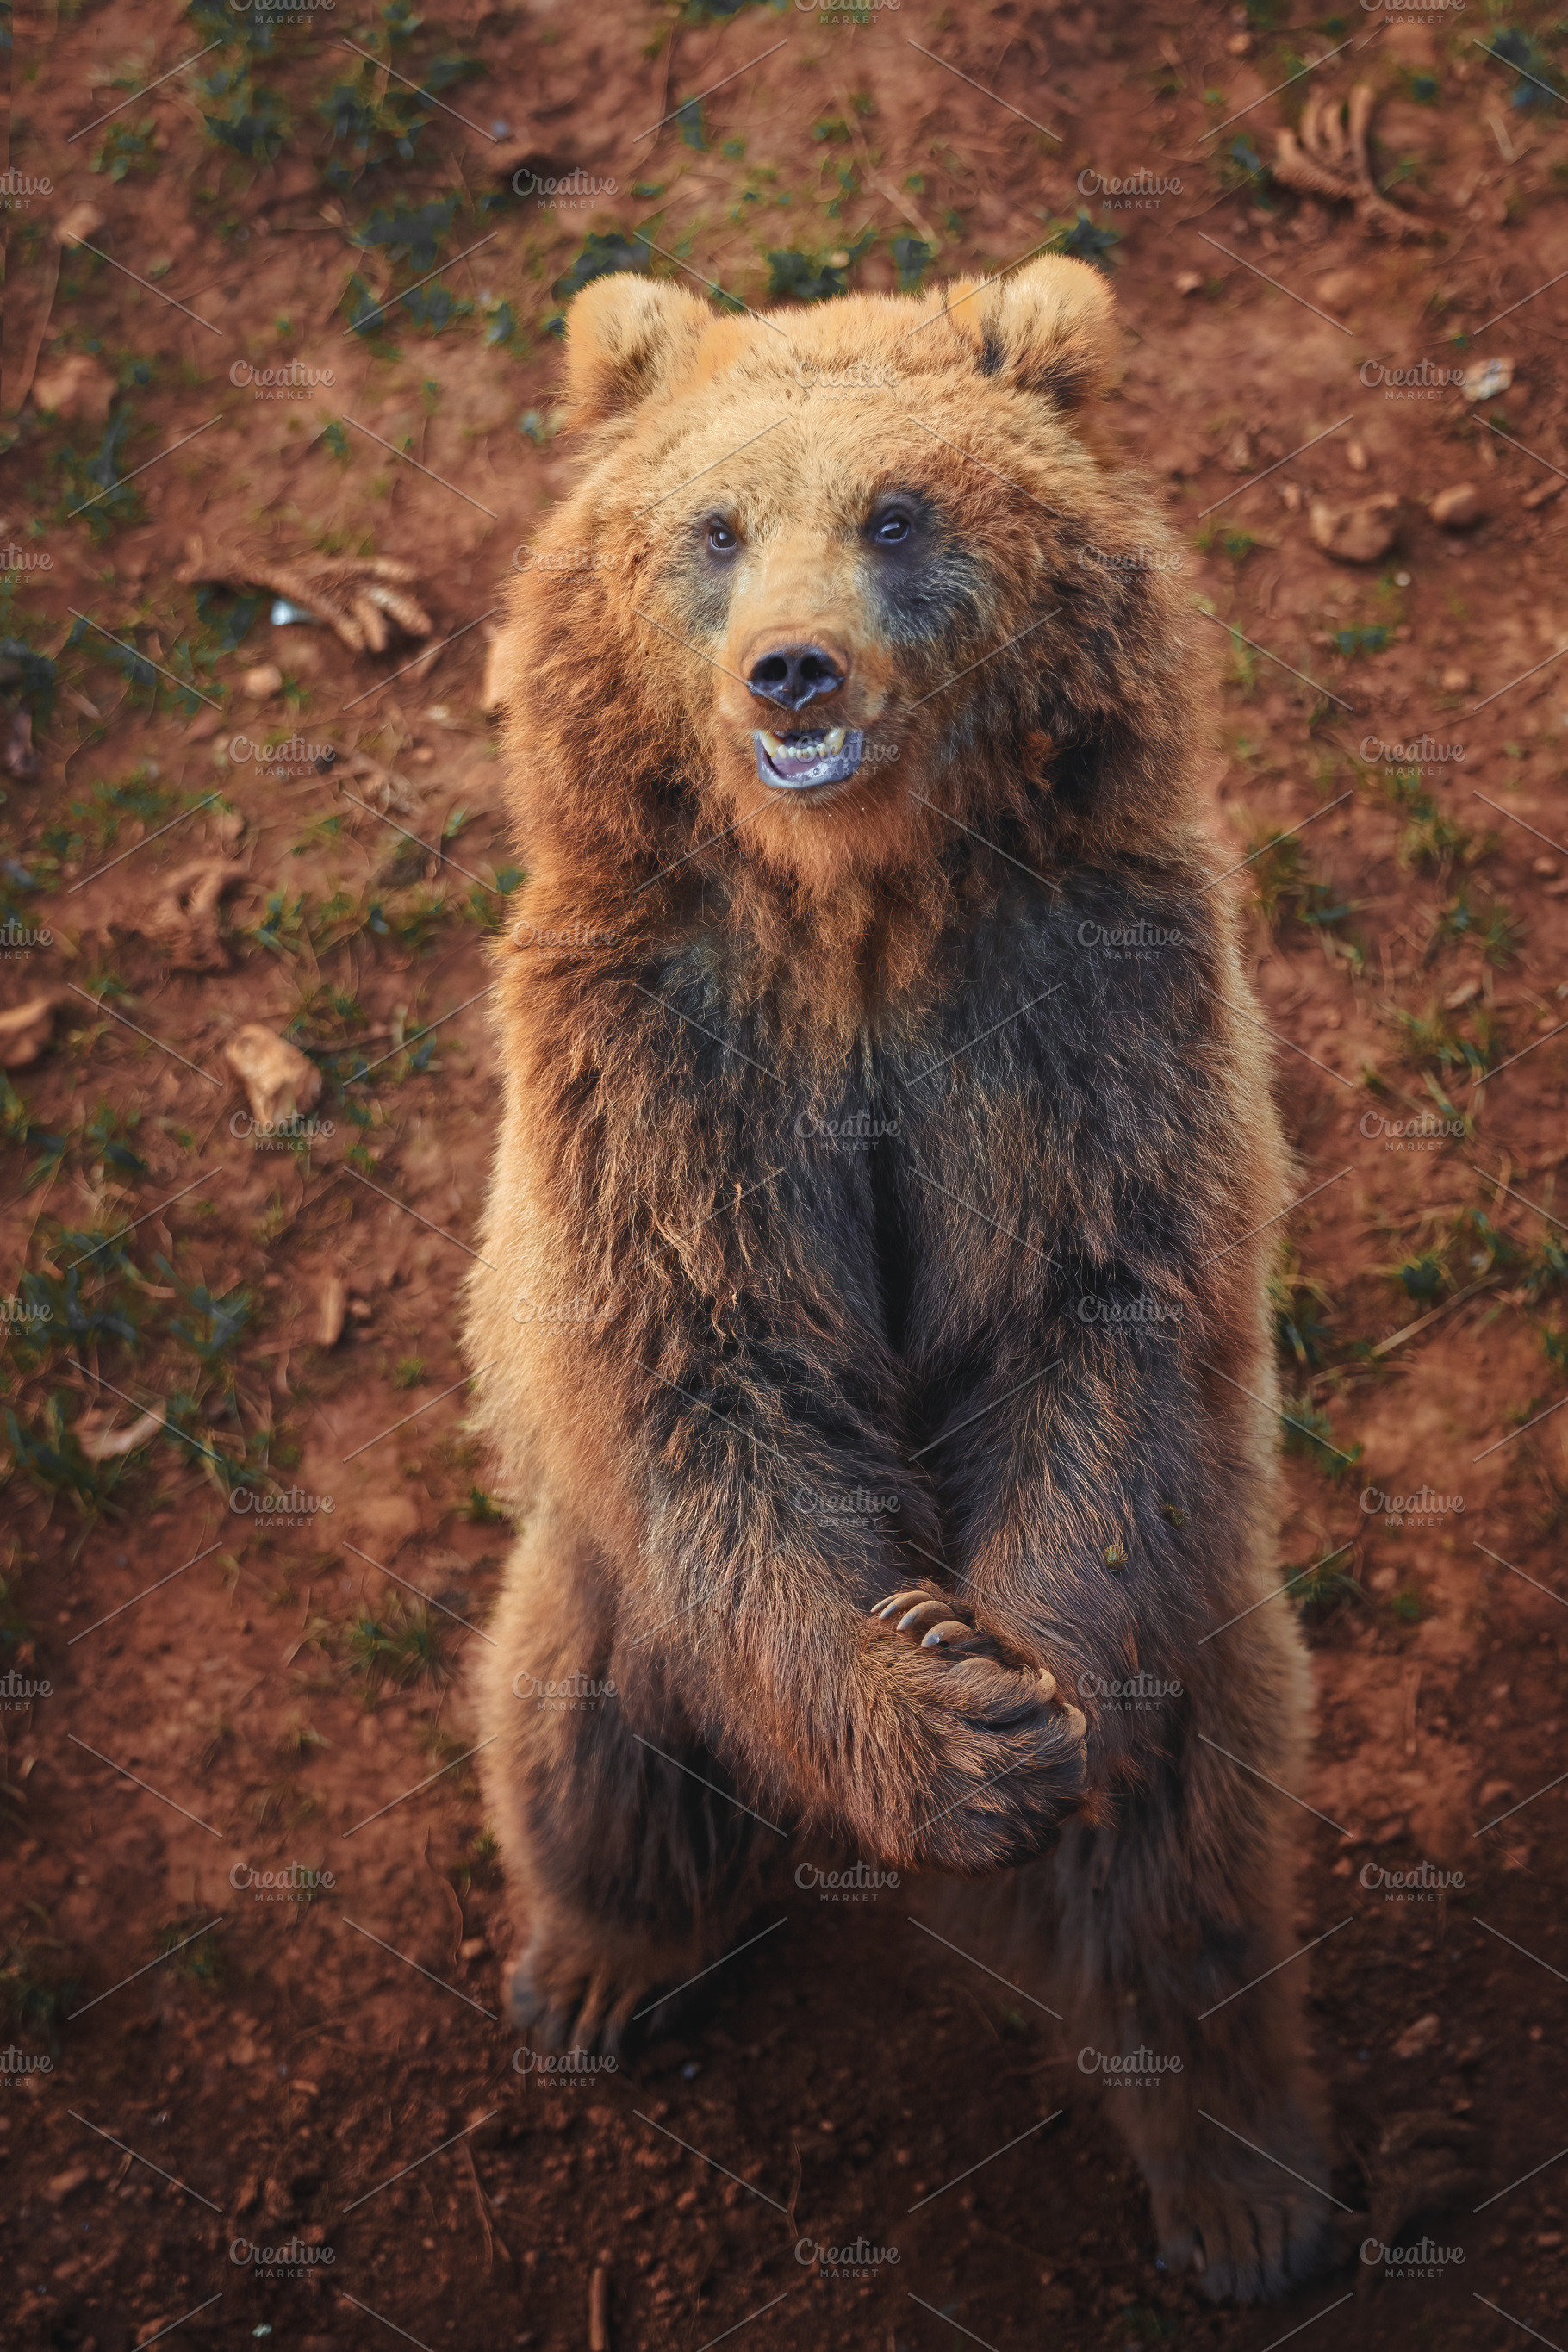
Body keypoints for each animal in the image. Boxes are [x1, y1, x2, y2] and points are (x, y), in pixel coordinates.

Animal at [464, 254, 1333, 2303]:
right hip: (612, 1603)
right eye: (715, 527)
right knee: (577, 1730)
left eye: (898, 510)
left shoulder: (1082, 1007)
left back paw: (1245, 2181)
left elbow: (1095, 1319)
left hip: (1208, 1616)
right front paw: (942, 1725)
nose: (793, 670)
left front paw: (1012, 1688)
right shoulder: (662, 1056)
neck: (855, 900)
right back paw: (597, 1970)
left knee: (1191, 1855)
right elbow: (703, 1366)